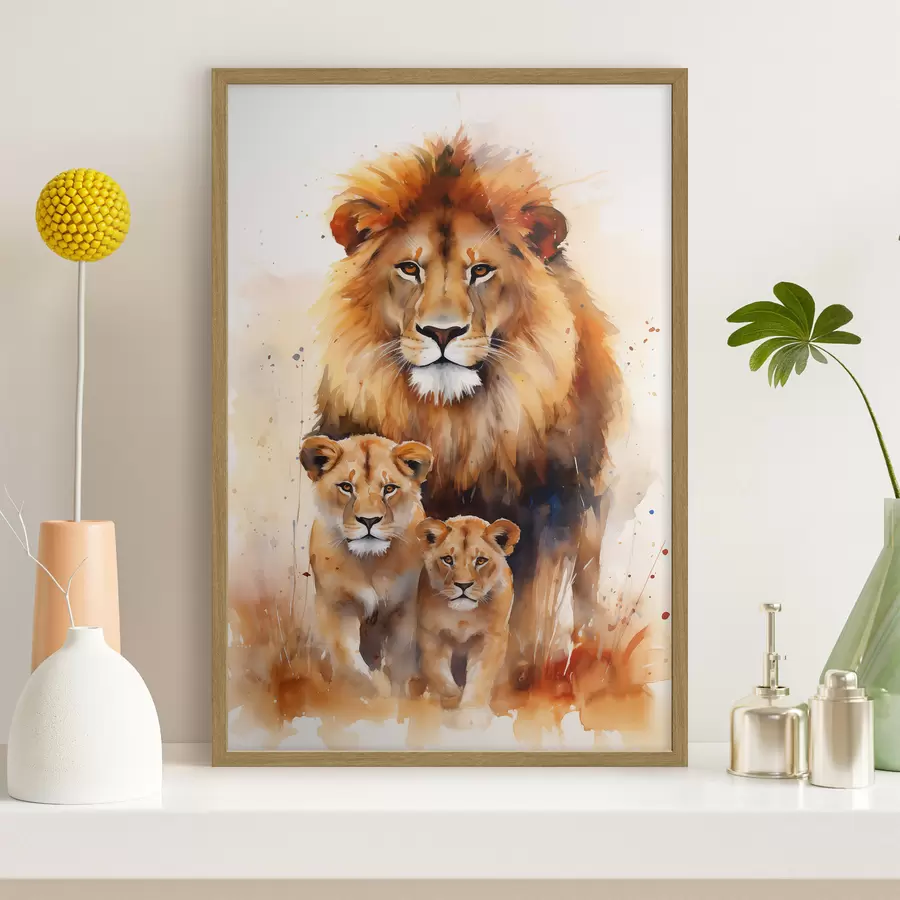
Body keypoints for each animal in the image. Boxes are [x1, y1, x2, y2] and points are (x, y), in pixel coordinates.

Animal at [300, 433, 433, 696]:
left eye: (389, 489)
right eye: (346, 487)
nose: (369, 520)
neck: (370, 562)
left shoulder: (405, 607)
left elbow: (400, 661)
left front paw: (398, 695)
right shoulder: (337, 605)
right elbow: (349, 661)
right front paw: (370, 694)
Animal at [312, 132, 622, 688]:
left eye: (480, 270)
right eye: (409, 268)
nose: (441, 332)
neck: (455, 423)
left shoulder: (549, 508)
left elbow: (524, 615)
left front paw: (512, 680)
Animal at [416, 515, 520, 713]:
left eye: (480, 561)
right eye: (448, 559)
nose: (463, 585)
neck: (463, 616)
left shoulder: (492, 637)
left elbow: (481, 677)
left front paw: (471, 711)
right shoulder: (431, 634)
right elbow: (438, 673)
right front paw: (451, 699)